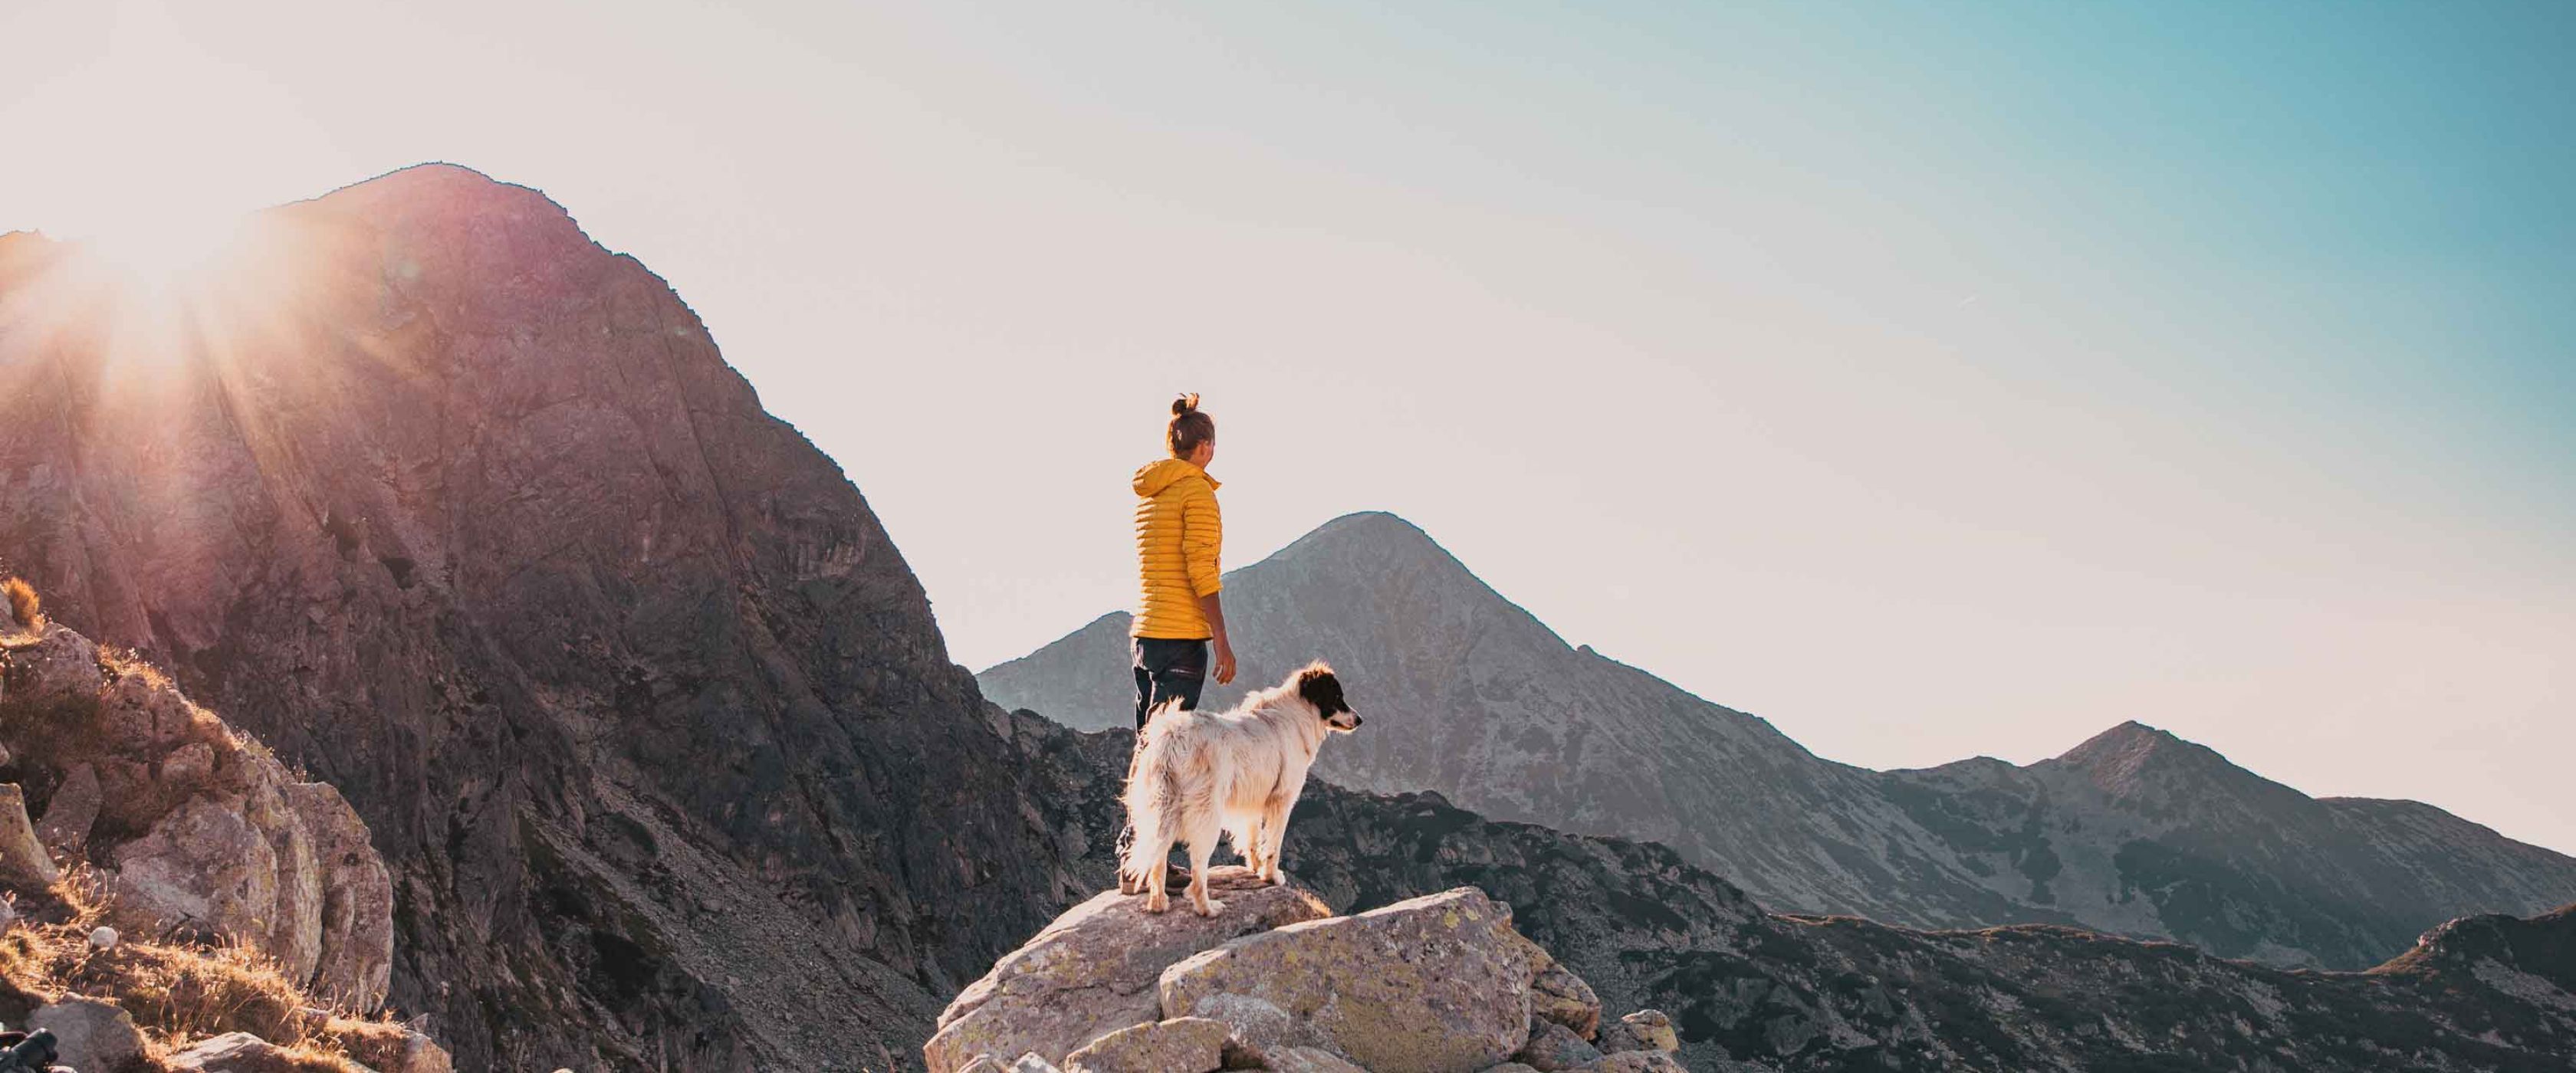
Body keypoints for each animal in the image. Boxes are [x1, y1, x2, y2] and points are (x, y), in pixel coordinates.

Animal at [1128, 658, 1370, 911]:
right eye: (1337, 696)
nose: (1360, 720)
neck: (1298, 712)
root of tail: (1173, 737)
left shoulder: (1252, 800)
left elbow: (1253, 839)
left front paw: (1255, 868)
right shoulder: (1282, 800)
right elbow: (1273, 845)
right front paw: (1271, 876)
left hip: (1161, 809)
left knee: (1158, 858)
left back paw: (1159, 903)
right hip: (1207, 813)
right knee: (1197, 868)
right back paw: (1207, 908)